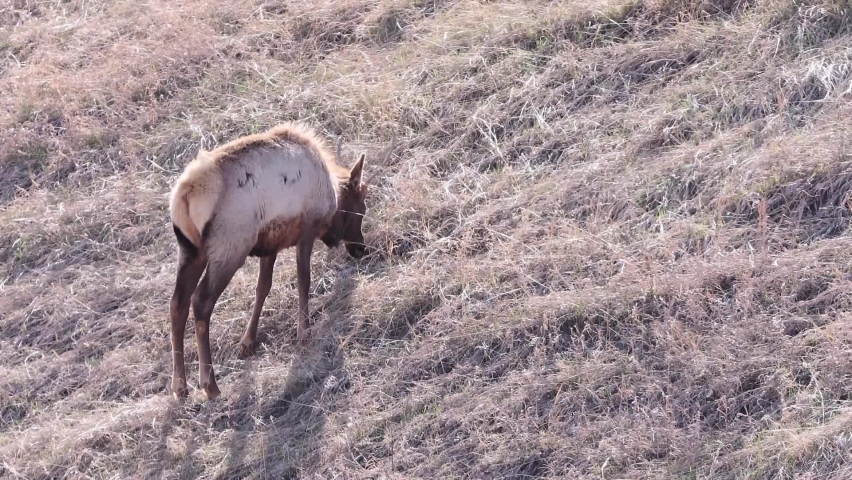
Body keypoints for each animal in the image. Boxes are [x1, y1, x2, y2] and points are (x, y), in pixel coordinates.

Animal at [166, 122, 395, 400]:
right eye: (360, 208)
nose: (360, 248)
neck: (330, 193)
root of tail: (186, 195)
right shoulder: (306, 229)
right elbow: (303, 280)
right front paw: (304, 332)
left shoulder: (269, 243)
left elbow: (263, 288)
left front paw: (247, 341)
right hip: (229, 246)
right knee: (200, 301)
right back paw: (209, 384)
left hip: (190, 250)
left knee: (177, 303)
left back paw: (180, 387)